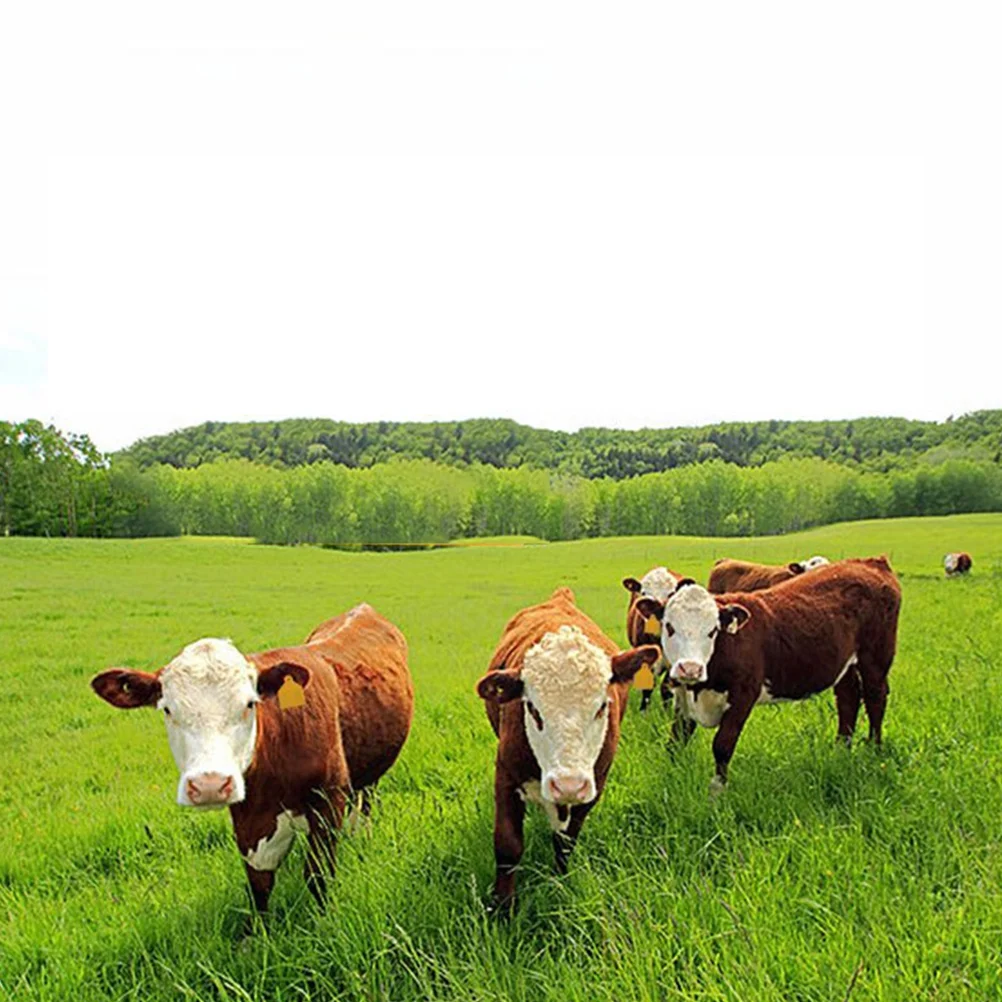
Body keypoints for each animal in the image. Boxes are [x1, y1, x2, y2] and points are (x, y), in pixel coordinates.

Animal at [91, 603, 413, 923]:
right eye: (168, 710)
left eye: (249, 704)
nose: (209, 785)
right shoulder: (247, 816)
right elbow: (259, 883)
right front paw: (260, 932)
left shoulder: (328, 799)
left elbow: (318, 875)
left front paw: (325, 921)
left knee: (365, 801)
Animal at [476, 587, 660, 911]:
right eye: (533, 709)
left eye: (601, 707)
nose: (568, 785)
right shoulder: (506, 774)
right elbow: (508, 846)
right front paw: (502, 908)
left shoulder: (595, 784)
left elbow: (565, 842)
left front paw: (559, 881)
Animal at [622, 566, 682, 710]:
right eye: (644, 593)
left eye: (671, 594)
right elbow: (647, 687)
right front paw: (644, 711)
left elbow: (666, 688)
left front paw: (667, 711)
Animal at [635, 558, 900, 794]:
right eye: (669, 626)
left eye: (712, 631)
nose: (690, 668)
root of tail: (871, 562)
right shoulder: (682, 696)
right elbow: (675, 742)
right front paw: (672, 779)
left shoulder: (743, 695)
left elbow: (722, 745)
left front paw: (716, 793)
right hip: (845, 665)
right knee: (848, 699)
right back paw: (841, 750)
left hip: (875, 659)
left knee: (875, 699)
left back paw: (874, 750)